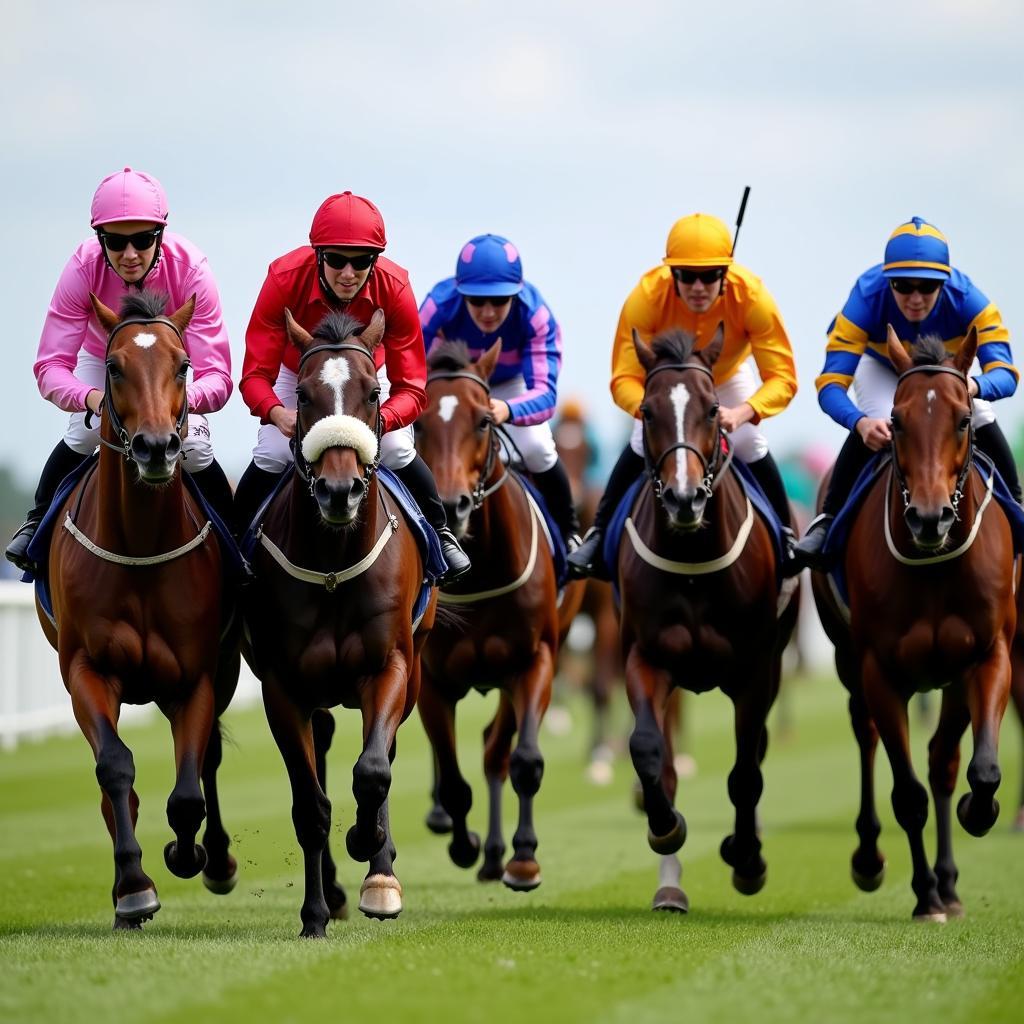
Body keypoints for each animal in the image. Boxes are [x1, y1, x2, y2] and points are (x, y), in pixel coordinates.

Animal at [39, 288, 239, 929]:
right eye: (114, 366)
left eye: (183, 365)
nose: (155, 447)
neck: (141, 549)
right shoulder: (85, 668)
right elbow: (115, 768)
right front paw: (133, 886)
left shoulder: (198, 675)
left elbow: (190, 786)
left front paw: (189, 852)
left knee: (208, 763)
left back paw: (214, 857)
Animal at [243, 309, 436, 937]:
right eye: (303, 395)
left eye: (373, 391)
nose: (338, 489)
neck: (332, 563)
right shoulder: (282, 684)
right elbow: (310, 804)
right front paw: (314, 915)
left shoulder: (390, 665)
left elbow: (373, 770)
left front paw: (370, 848)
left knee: (382, 756)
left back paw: (379, 870)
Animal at [411, 337, 581, 888]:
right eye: (418, 423)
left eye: (484, 421)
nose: (452, 505)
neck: (481, 571)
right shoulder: (434, 680)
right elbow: (452, 777)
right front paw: (462, 843)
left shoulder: (534, 661)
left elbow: (523, 760)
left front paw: (523, 858)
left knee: (495, 749)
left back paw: (496, 853)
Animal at [610, 325, 794, 913]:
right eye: (647, 411)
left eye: (713, 411)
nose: (685, 499)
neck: (693, 563)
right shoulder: (645, 658)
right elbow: (648, 753)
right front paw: (665, 827)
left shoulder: (757, 671)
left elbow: (745, 774)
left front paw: (748, 859)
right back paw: (670, 885)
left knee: (754, 756)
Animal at [815, 327, 1015, 921]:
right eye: (897, 421)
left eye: (964, 420)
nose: (930, 518)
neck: (935, 565)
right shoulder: (879, 670)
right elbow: (906, 795)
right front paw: (923, 894)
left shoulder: (987, 655)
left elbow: (978, 769)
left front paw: (976, 812)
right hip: (846, 658)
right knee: (866, 733)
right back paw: (874, 859)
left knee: (942, 760)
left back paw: (950, 881)